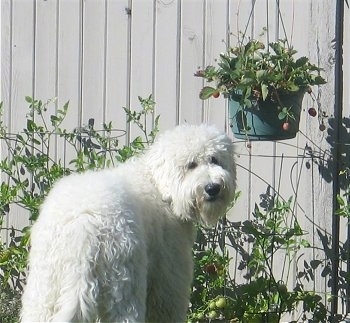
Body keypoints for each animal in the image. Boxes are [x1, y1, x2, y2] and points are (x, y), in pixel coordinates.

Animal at [21, 123, 235, 322]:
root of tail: (84, 226)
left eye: (214, 159)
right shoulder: (169, 276)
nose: (213, 188)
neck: (158, 185)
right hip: (123, 284)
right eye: (191, 165)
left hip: (45, 288)